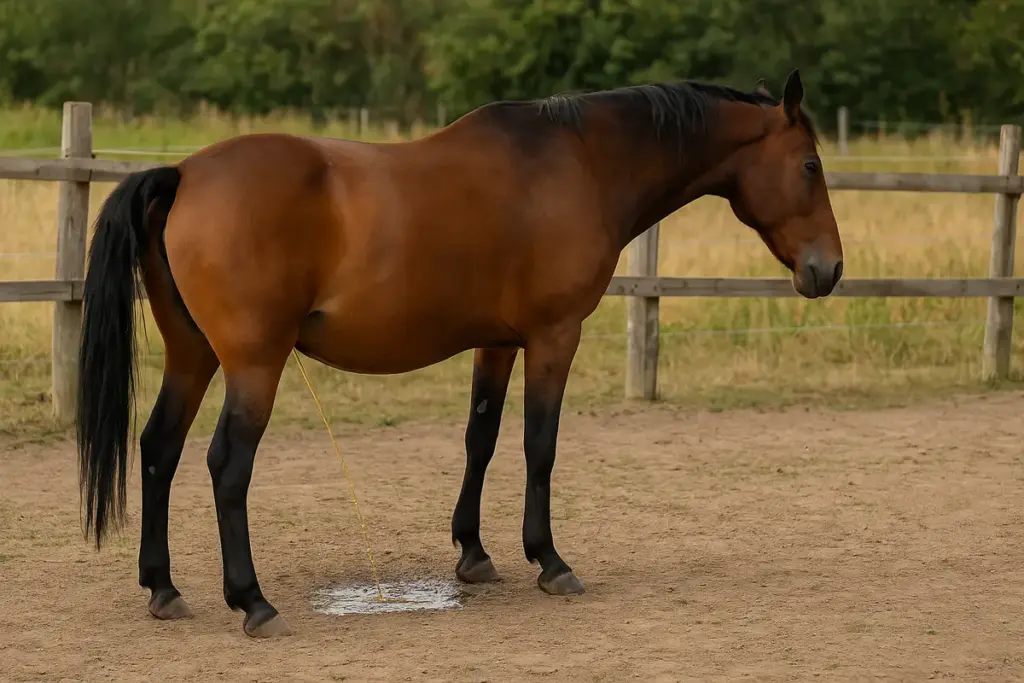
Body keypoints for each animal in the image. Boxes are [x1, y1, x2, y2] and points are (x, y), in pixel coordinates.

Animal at [76, 69, 843, 638]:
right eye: (810, 164)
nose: (828, 270)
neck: (580, 162)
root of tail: (184, 175)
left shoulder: (496, 342)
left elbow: (482, 438)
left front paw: (473, 553)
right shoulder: (554, 335)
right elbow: (539, 445)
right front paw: (550, 560)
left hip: (193, 357)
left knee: (158, 449)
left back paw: (164, 587)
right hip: (254, 365)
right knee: (226, 465)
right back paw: (253, 601)